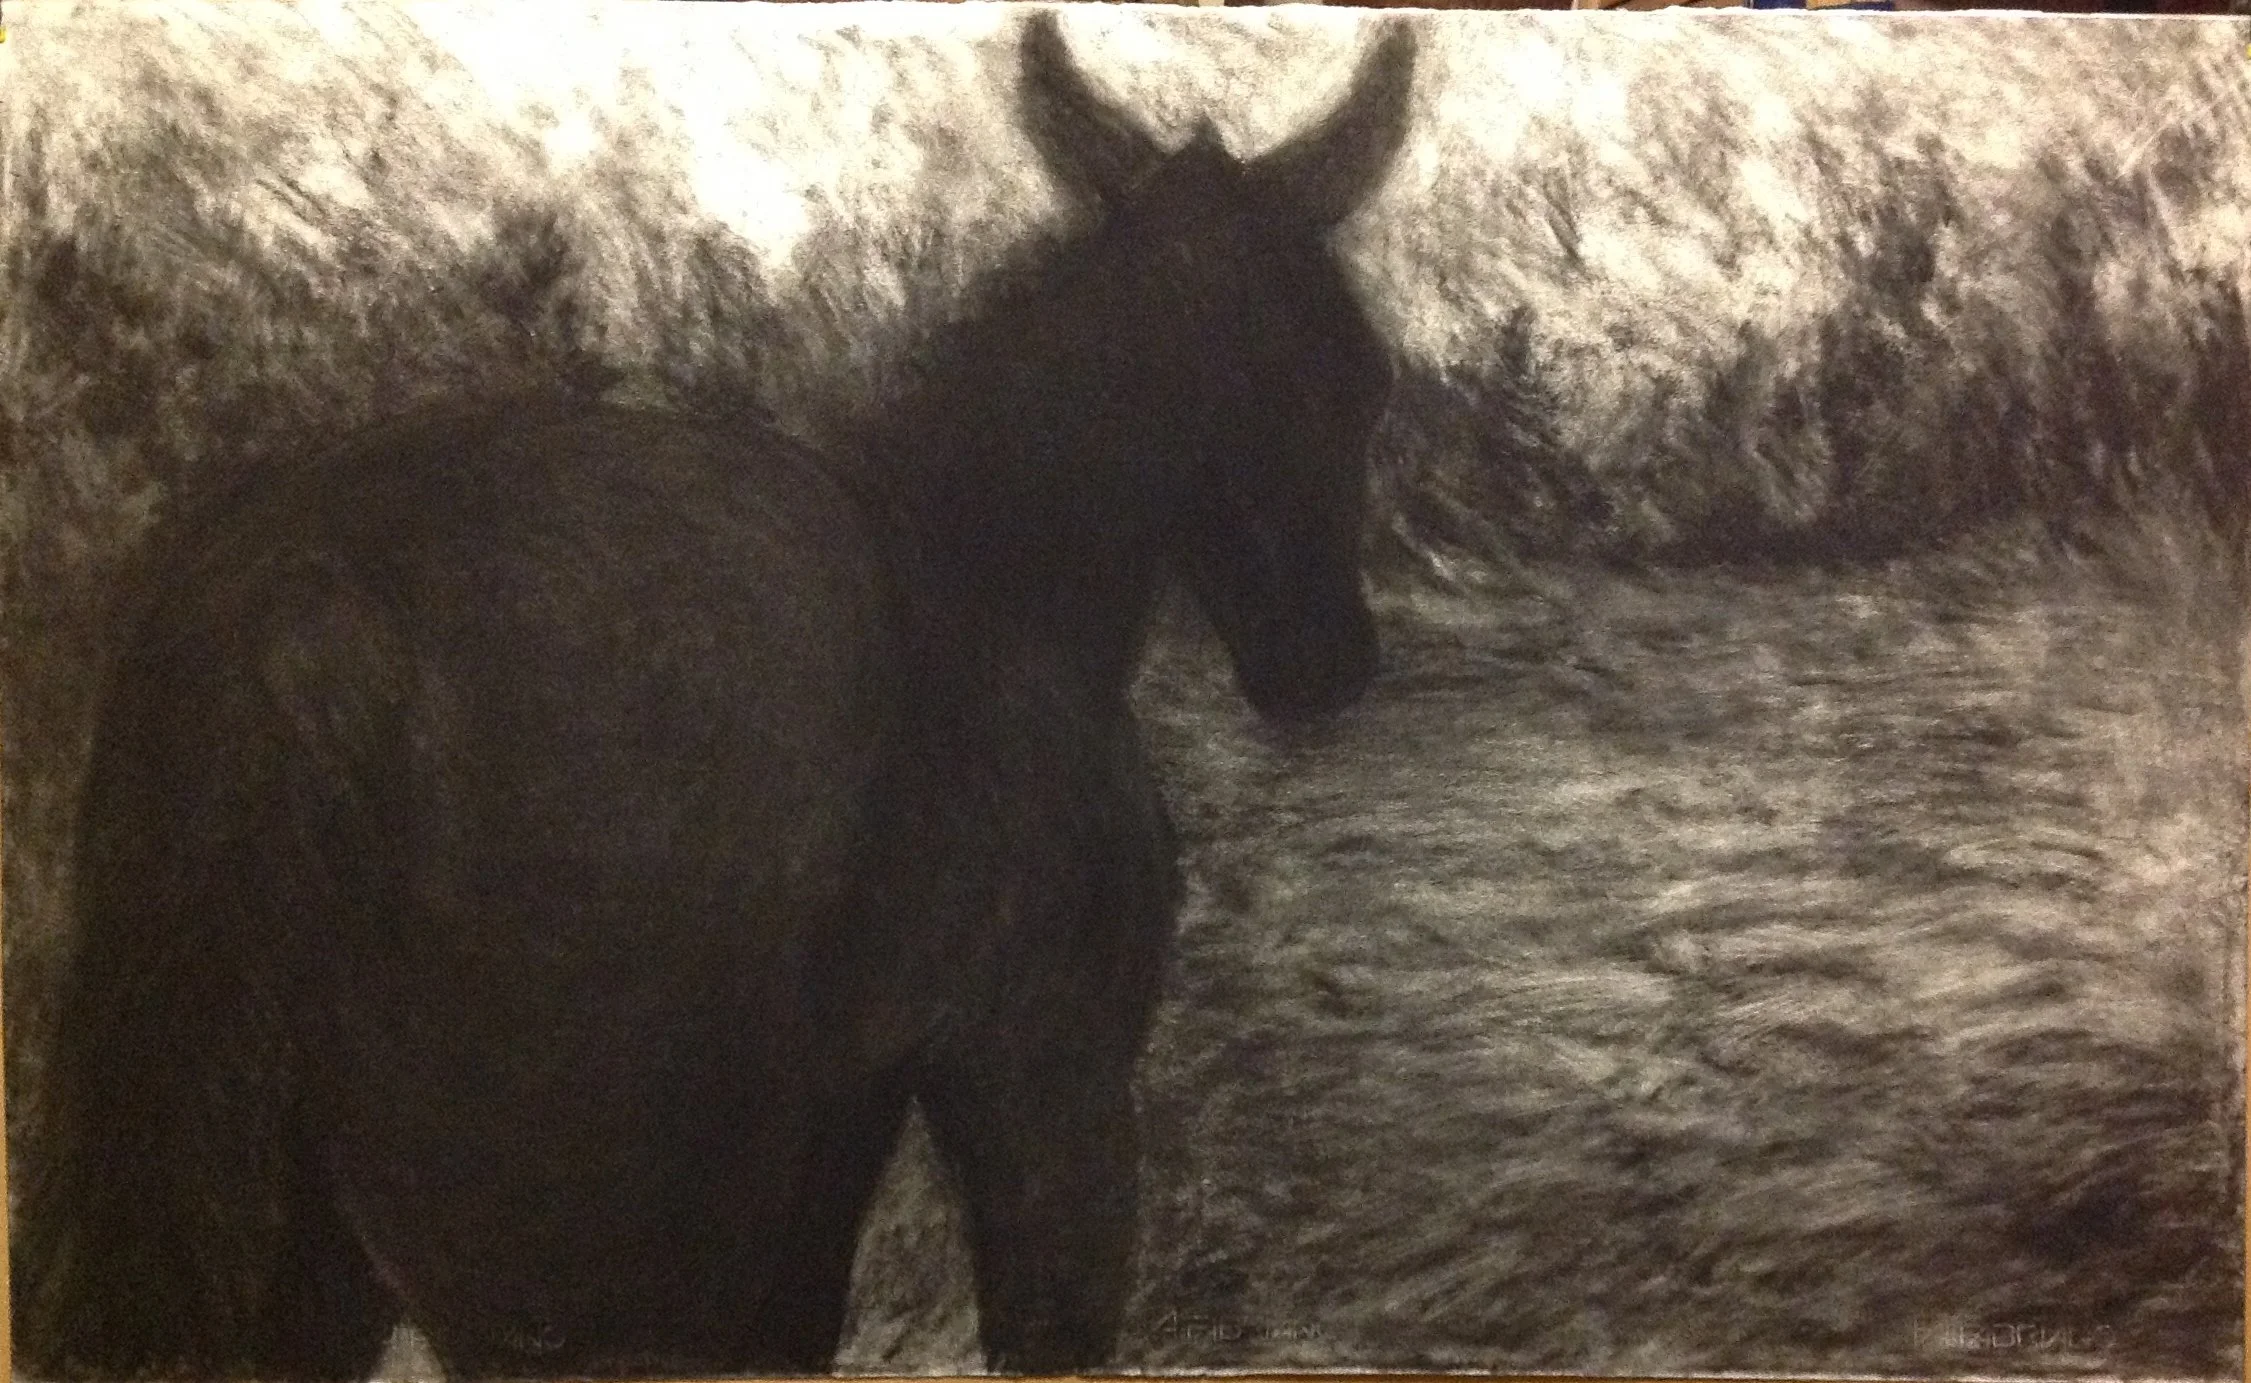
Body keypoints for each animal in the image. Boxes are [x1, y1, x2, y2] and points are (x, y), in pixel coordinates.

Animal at [13, 12, 1414, 1379]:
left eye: (1359, 374)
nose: (1326, 660)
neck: (996, 565)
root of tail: (291, 623)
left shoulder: (825, 1139)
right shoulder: (1039, 1076)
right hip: (542, 1237)